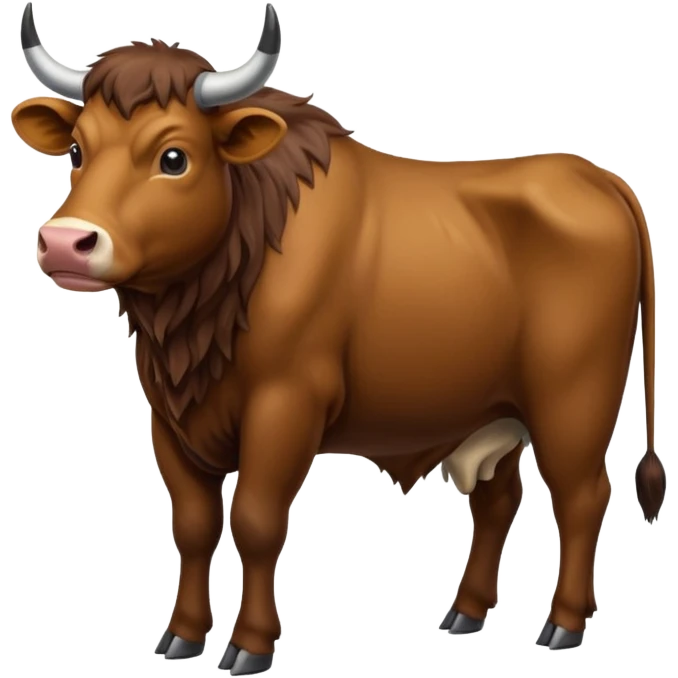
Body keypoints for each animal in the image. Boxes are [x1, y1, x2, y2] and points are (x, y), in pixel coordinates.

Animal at [12, 1, 666, 673]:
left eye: (174, 157)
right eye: (77, 150)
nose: (64, 243)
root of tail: (594, 177)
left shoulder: (286, 405)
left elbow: (256, 520)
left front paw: (250, 645)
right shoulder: (169, 420)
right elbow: (193, 526)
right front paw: (183, 635)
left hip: (573, 405)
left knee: (582, 497)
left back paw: (562, 625)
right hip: (493, 413)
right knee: (498, 500)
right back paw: (465, 613)